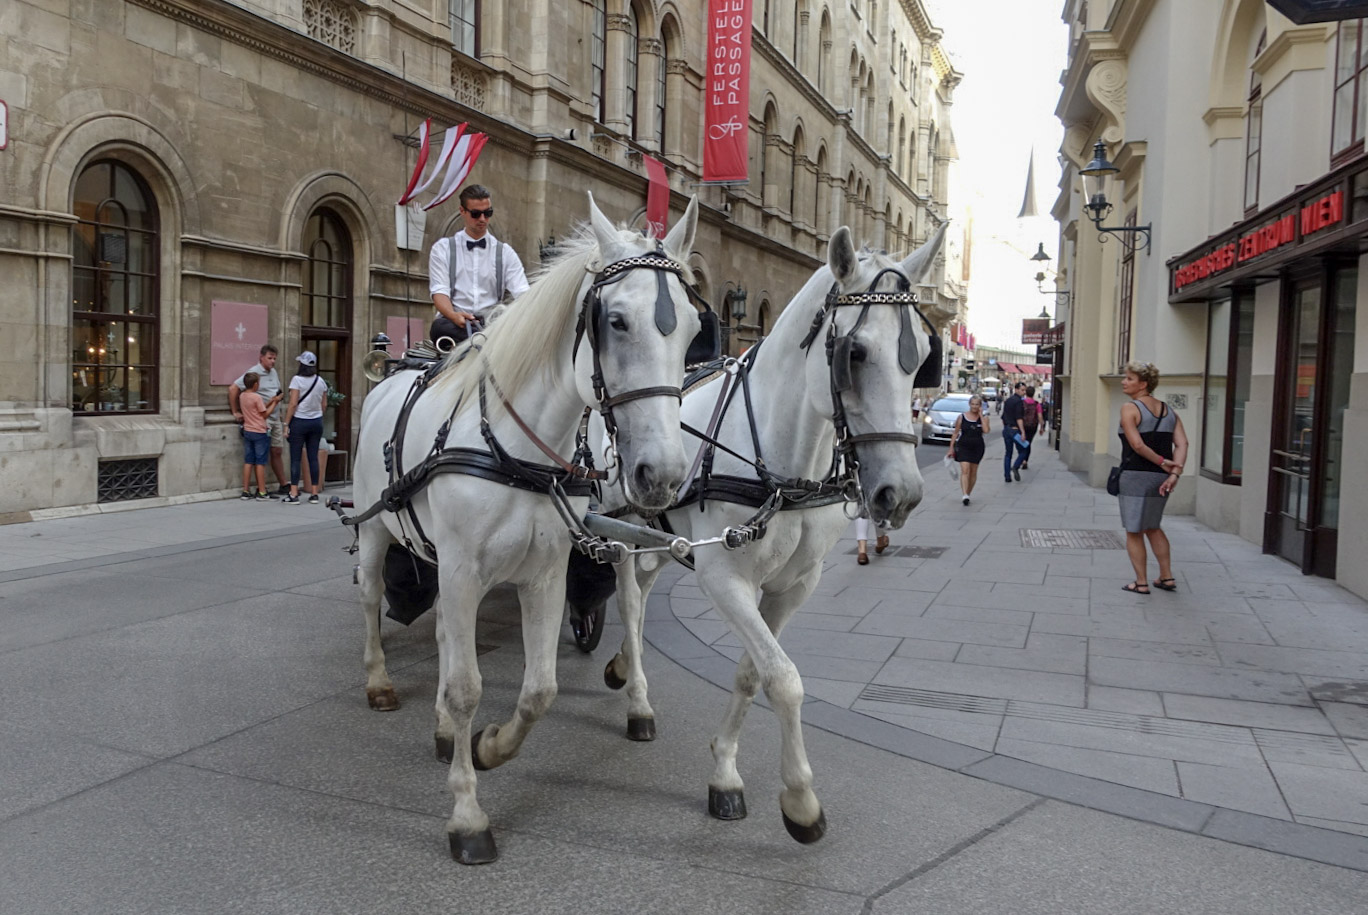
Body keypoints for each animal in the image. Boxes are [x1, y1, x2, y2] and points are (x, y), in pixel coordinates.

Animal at [351, 193, 707, 864]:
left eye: (695, 330)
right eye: (615, 321)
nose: (663, 474)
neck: (517, 452)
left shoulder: (543, 574)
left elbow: (539, 690)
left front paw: (488, 746)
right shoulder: (464, 570)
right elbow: (467, 687)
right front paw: (468, 816)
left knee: (448, 635)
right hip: (376, 530)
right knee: (371, 598)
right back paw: (379, 682)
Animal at [581, 223, 947, 844]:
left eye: (923, 357)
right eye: (854, 353)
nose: (900, 493)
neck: (782, 468)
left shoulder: (794, 585)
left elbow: (754, 672)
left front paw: (725, 768)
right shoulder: (724, 578)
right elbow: (784, 678)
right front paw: (798, 798)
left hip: (659, 528)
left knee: (646, 588)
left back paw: (625, 667)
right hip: (620, 522)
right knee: (629, 601)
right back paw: (638, 700)